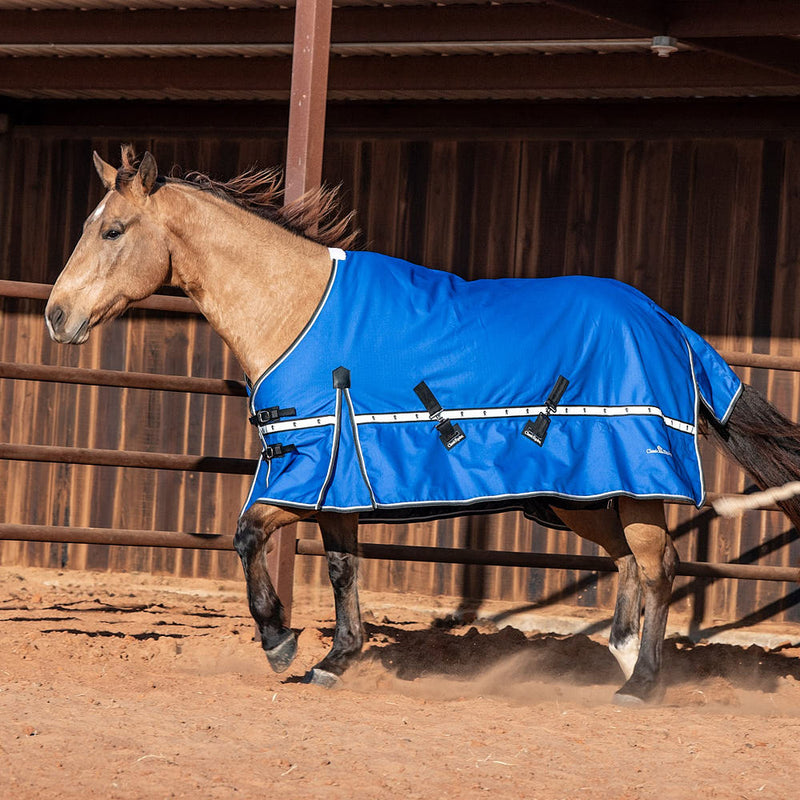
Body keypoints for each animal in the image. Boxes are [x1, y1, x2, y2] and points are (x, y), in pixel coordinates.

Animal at [45, 146, 800, 705]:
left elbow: (247, 536)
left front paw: (279, 642)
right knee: (627, 563)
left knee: (658, 565)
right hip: (580, 494)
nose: (56, 316)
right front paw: (333, 661)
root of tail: (668, 323)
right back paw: (622, 660)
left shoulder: (305, 471)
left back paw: (641, 685)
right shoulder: (340, 481)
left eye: (112, 231)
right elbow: (343, 569)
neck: (297, 309)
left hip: (627, 481)